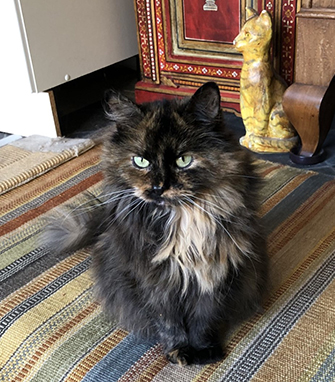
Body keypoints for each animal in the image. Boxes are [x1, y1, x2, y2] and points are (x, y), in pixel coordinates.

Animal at [44, 83, 268, 364]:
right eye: (141, 161)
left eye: (183, 160)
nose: (158, 188)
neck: (181, 217)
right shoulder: (152, 278)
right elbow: (168, 320)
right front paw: (179, 350)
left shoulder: (214, 269)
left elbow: (204, 317)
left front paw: (204, 350)